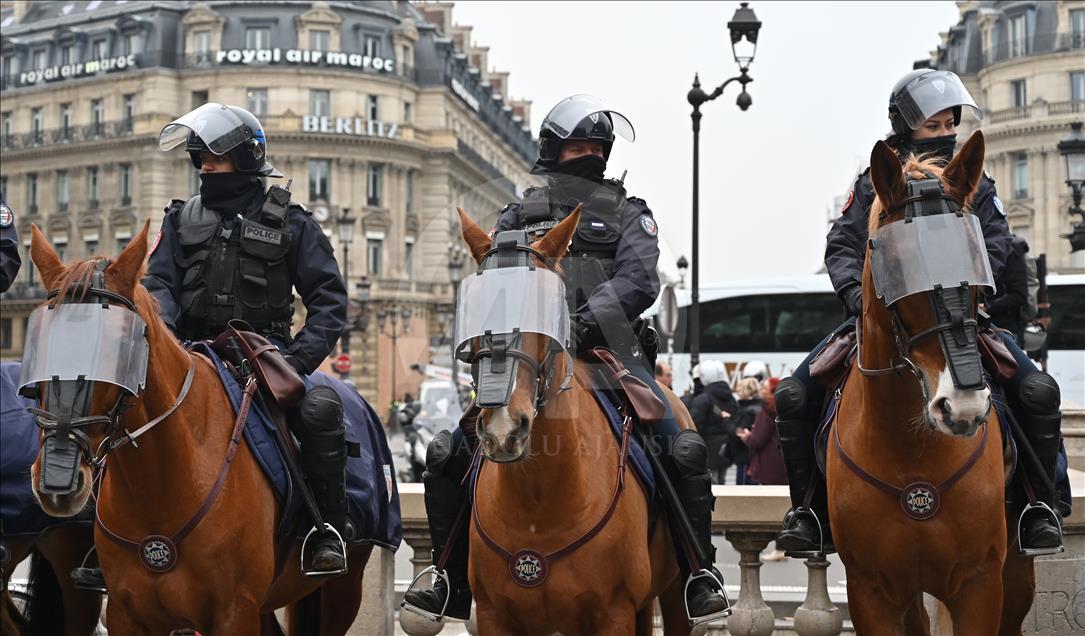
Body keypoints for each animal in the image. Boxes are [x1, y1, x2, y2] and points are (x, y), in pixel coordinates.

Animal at [23, 223, 373, 633]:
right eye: (38, 345)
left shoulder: (234, 613)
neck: (160, 489)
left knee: (320, 411)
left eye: (120, 346)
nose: (56, 481)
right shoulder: (128, 614)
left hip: (341, 591)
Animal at [453, 209, 690, 633]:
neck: (539, 502)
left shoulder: (613, 614)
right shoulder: (496, 615)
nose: (503, 429)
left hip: (674, 591)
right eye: (475, 306)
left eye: (548, 306)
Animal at [828, 130, 1032, 633]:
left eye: (975, 259)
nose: (962, 406)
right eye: (898, 264)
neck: (911, 456)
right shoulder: (871, 592)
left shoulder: (980, 584)